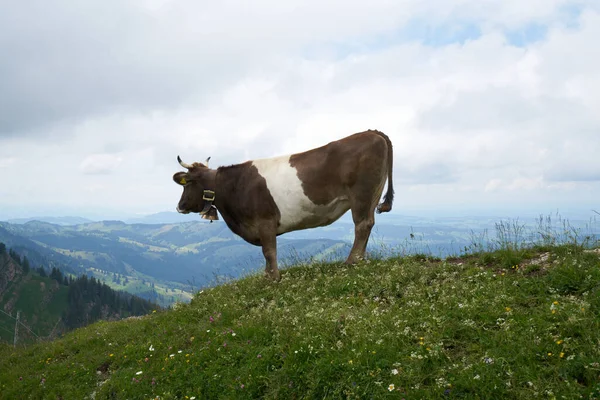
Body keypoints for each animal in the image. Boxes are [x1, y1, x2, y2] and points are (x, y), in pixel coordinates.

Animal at [172, 130, 394, 280]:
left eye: (187, 182)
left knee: (361, 225)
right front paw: (266, 276)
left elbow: (269, 251)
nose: (179, 206)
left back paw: (351, 261)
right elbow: (267, 253)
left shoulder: (265, 221)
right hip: (372, 195)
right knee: (368, 224)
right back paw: (360, 259)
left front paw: (273, 278)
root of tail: (371, 132)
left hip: (361, 195)